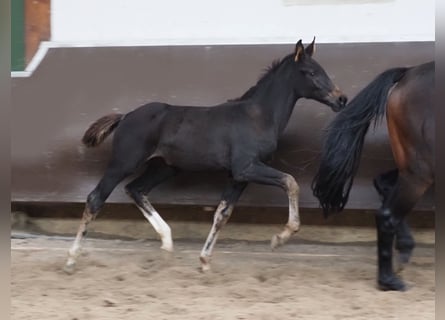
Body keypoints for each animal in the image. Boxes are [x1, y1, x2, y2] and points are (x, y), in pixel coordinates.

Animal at [63, 37, 346, 272]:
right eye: (311, 72)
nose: (341, 99)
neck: (257, 116)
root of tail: (125, 117)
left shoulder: (238, 176)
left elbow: (222, 213)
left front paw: (204, 260)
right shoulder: (246, 167)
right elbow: (290, 181)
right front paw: (281, 237)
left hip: (164, 167)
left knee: (136, 189)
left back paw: (167, 243)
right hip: (124, 162)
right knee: (96, 197)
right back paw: (71, 258)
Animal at [310, 61, 432, 292]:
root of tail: (408, 72)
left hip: (413, 166)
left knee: (383, 184)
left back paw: (403, 251)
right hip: (420, 170)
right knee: (386, 215)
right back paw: (389, 280)